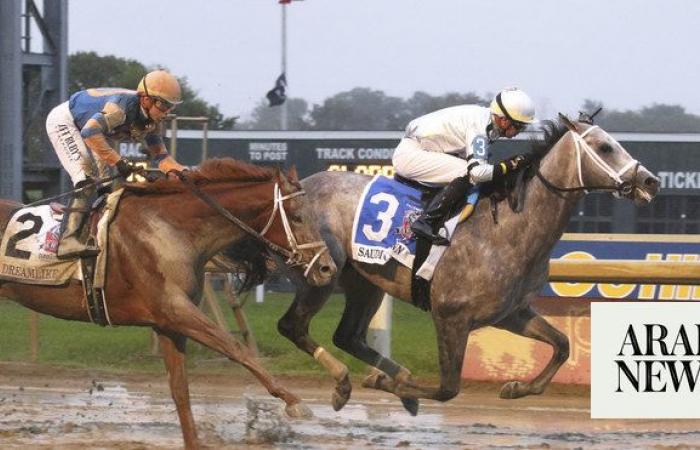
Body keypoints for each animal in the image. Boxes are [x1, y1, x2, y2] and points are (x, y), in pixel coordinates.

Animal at [0, 159, 336, 450]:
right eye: (297, 215)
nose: (327, 268)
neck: (169, 228)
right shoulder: (175, 310)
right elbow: (235, 348)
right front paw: (296, 401)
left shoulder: (168, 324)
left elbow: (180, 389)